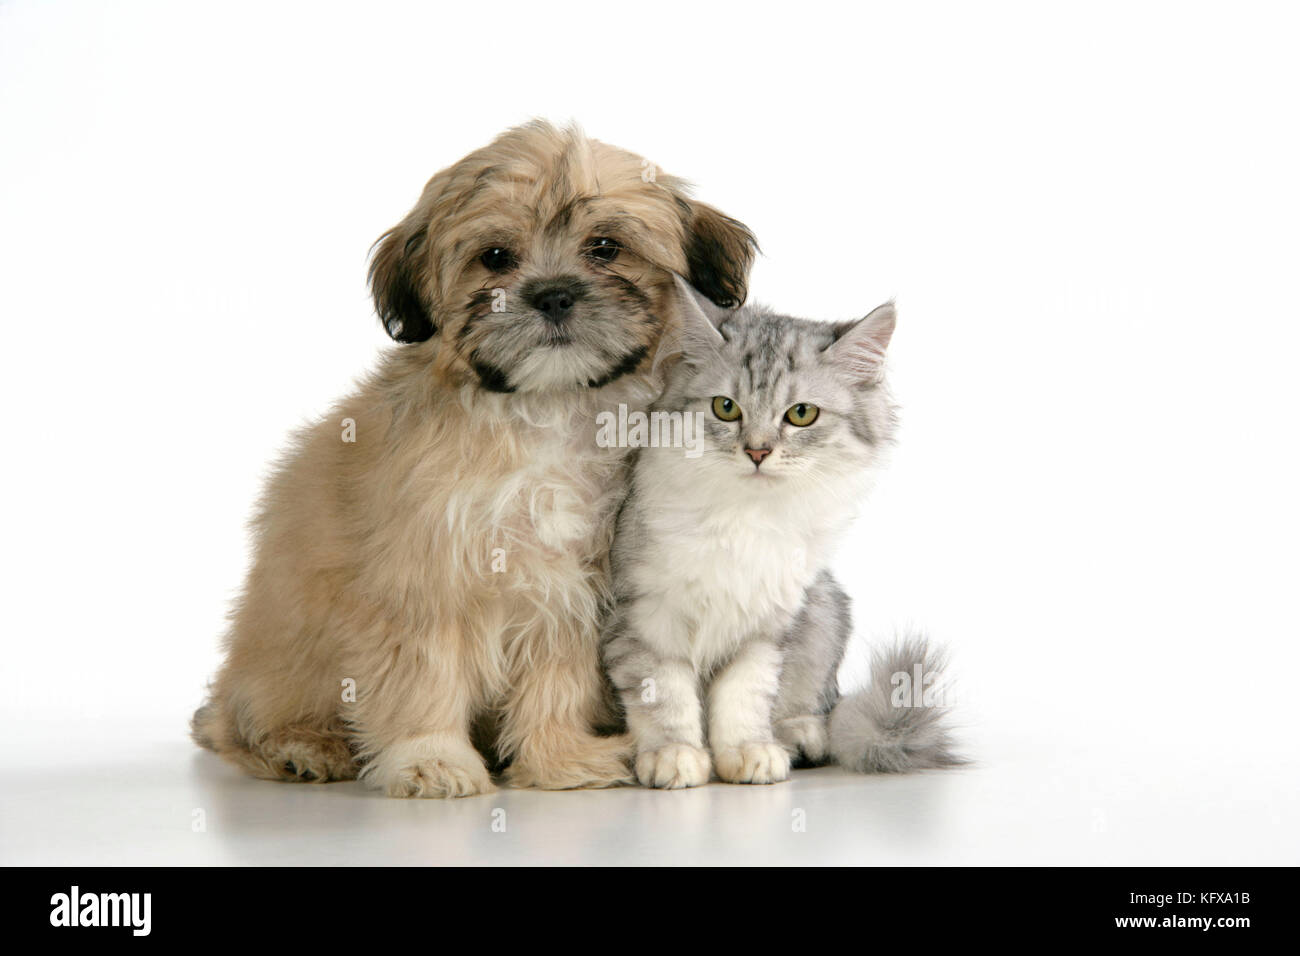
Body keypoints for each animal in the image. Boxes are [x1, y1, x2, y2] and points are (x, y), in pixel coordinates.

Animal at [193, 121, 759, 801]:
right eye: (494, 257)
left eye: (605, 247)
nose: (553, 294)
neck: (544, 410)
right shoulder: (425, 574)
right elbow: (423, 674)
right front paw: (430, 760)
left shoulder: (571, 582)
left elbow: (557, 673)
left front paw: (560, 759)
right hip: (277, 667)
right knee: (241, 726)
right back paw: (304, 747)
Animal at [603, 274, 961, 785]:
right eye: (726, 408)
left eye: (801, 414)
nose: (757, 452)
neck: (745, 517)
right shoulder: (644, 619)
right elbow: (665, 696)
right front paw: (674, 755)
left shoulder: (766, 628)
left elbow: (742, 697)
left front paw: (747, 753)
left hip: (824, 611)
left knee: (819, 707)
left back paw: (799, 737)